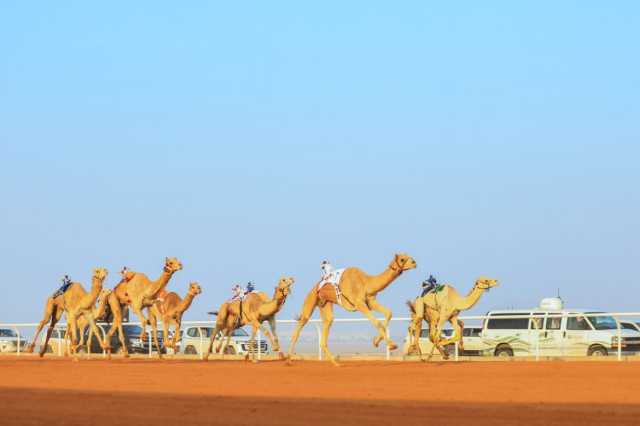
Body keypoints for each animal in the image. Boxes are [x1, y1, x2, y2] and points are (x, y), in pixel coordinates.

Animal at [288, 253, 418, 366]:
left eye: (409, 256)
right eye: (402, 259)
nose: (414, 262)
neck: (366, 282)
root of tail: (316, 287)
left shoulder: (370, 302)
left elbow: (388, 313)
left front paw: (376, 342)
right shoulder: (359, 303)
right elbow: (377, 322)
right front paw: (391, 345)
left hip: (324, 303)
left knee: (327, 324)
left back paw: (336, 363)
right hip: (311, 299)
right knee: (301, 324)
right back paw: (288, 360)